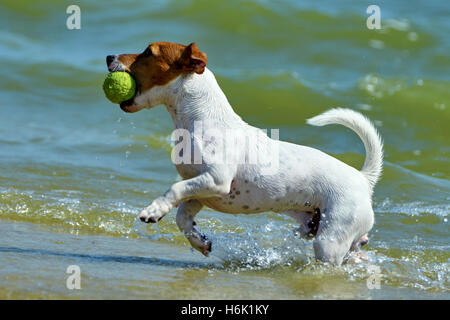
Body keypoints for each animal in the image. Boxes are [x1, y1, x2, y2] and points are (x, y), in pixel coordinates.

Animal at [106, 41, 384, 264]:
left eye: (148, 52)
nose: (109, 56)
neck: (200, 119)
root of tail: (363, 178)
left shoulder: (216, 180)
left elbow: (174, 190)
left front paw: (153, 210)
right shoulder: (203, 189)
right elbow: (182, 217)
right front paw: (199, 241)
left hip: (330, 239)